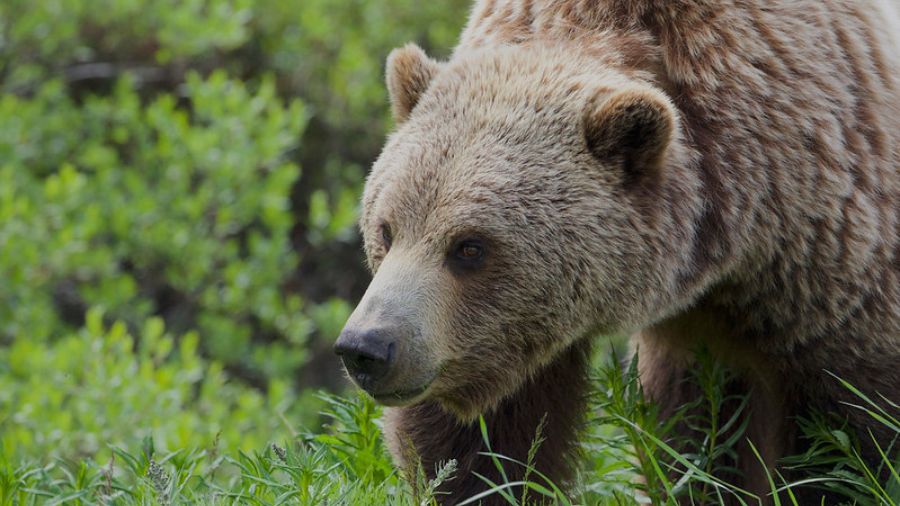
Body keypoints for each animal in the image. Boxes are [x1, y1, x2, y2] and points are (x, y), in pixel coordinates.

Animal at [334, 0, 900, 504]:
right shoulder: (502, 343)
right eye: (386, 229)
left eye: (469, 247)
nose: (367, 346)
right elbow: (482, 443)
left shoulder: (825, 269)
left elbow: (846, 442)